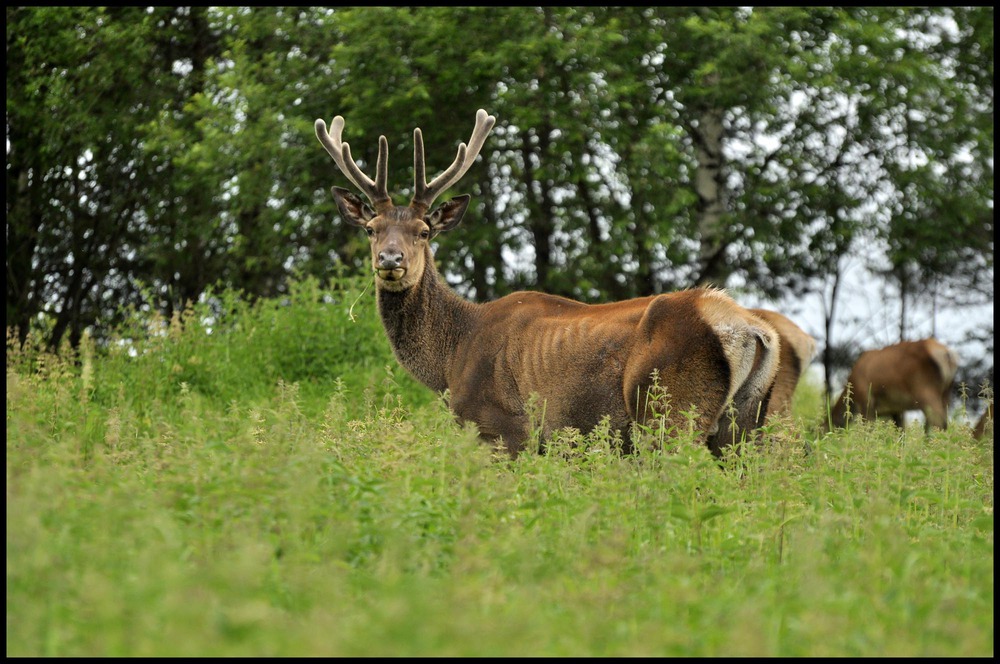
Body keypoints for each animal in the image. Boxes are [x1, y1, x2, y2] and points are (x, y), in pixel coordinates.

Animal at [312, 109, 780, 456]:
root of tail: (749, 329)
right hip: (745, 422)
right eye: (371, 229)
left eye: (424, 232)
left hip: (668, 409)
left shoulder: (501, 426)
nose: (391, 260)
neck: (451, 359)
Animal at [828, 340, 960, 434]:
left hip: (925, 389)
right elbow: (900, 432)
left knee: (938, 421)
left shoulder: (867, 401)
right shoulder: (896, 409)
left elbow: (868, 429)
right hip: (946, 392)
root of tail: (947, 355)